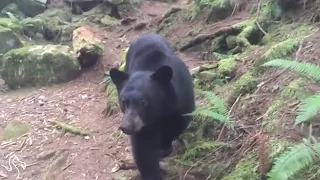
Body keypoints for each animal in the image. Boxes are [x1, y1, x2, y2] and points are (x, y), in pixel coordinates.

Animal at [109, 33, 195, 180]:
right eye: (124, 101)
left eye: (143, 101)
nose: (126, 126)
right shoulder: (143, 126)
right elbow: (144, 150)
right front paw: (152, 173)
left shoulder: (181, 104)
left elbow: (177, 126)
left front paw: (164, 148)